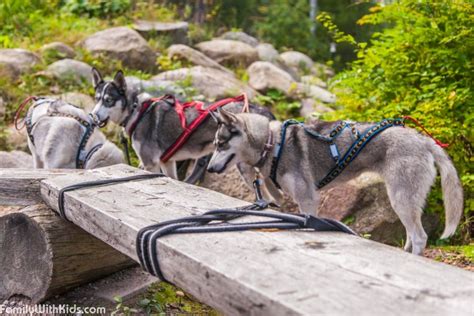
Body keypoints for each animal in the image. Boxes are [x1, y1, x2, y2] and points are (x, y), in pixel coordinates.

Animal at [90, 67, 274, 179]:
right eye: (97, 99)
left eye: (108, 100)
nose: (93, 115)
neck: (137, 112)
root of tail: (264, 112)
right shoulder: (167, 162)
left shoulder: (150, 164)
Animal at [207, 110, 462, 254]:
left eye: (221, 144)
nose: (208, 168)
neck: (271, 143)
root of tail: (424, 140)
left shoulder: (307, 200)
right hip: (403, 201)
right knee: (411, 235)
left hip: (401, 198)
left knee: (419, 237)